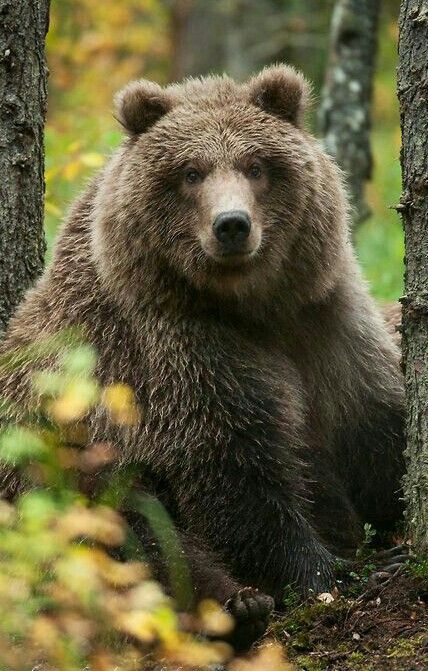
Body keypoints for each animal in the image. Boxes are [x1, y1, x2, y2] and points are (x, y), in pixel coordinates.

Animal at [0, 67, 404, 644]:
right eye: (191, 172)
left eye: (256, 166)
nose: (232, 224)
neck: (250, 305)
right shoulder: (173, 348)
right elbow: (233, 468)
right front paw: (334, 573)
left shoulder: (324, 319)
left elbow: (371, 422)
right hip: (52, 459)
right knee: (128, 532)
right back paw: (237, 605)